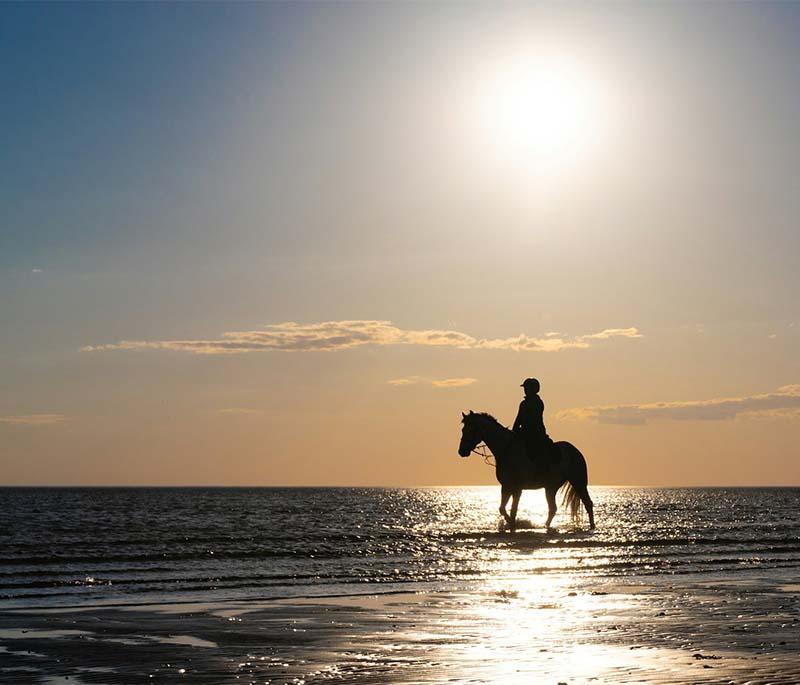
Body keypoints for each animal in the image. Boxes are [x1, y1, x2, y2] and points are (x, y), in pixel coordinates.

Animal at [456, 408, 592, 532]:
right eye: (463, 430)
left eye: (471, 430)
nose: (462, 451)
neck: (506, 449)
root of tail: (575, 451)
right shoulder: (506, 486)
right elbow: (502, 508)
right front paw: (510, 523)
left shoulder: (517, 488)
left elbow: (513, 509)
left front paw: (512, 525)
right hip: (550, 487)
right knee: (553, 509)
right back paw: (546, 526)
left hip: (578, 482)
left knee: (588, 503)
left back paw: (592, 527)